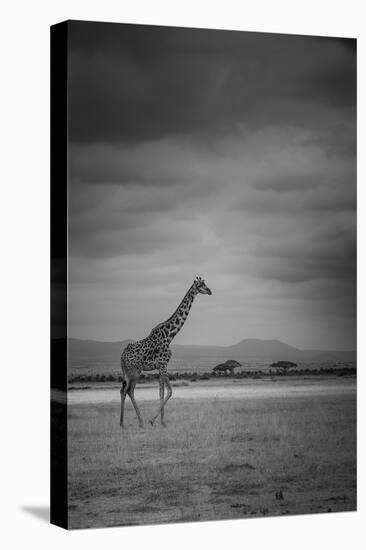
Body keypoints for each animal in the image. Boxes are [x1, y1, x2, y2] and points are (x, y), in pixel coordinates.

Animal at [120, 278, 212, 430]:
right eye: (201, 285)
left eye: (205, 284)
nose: (210, 291)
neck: (170, 335)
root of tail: (122, 356)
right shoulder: (163, 364)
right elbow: (170, 391)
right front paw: (152, 420)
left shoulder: (160, 366)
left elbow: (161, 393)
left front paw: (162, 422)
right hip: (135, 371)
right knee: (130, 391)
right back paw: (140, 421)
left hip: (127, 372)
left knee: (123, 391)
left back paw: (122, 423)